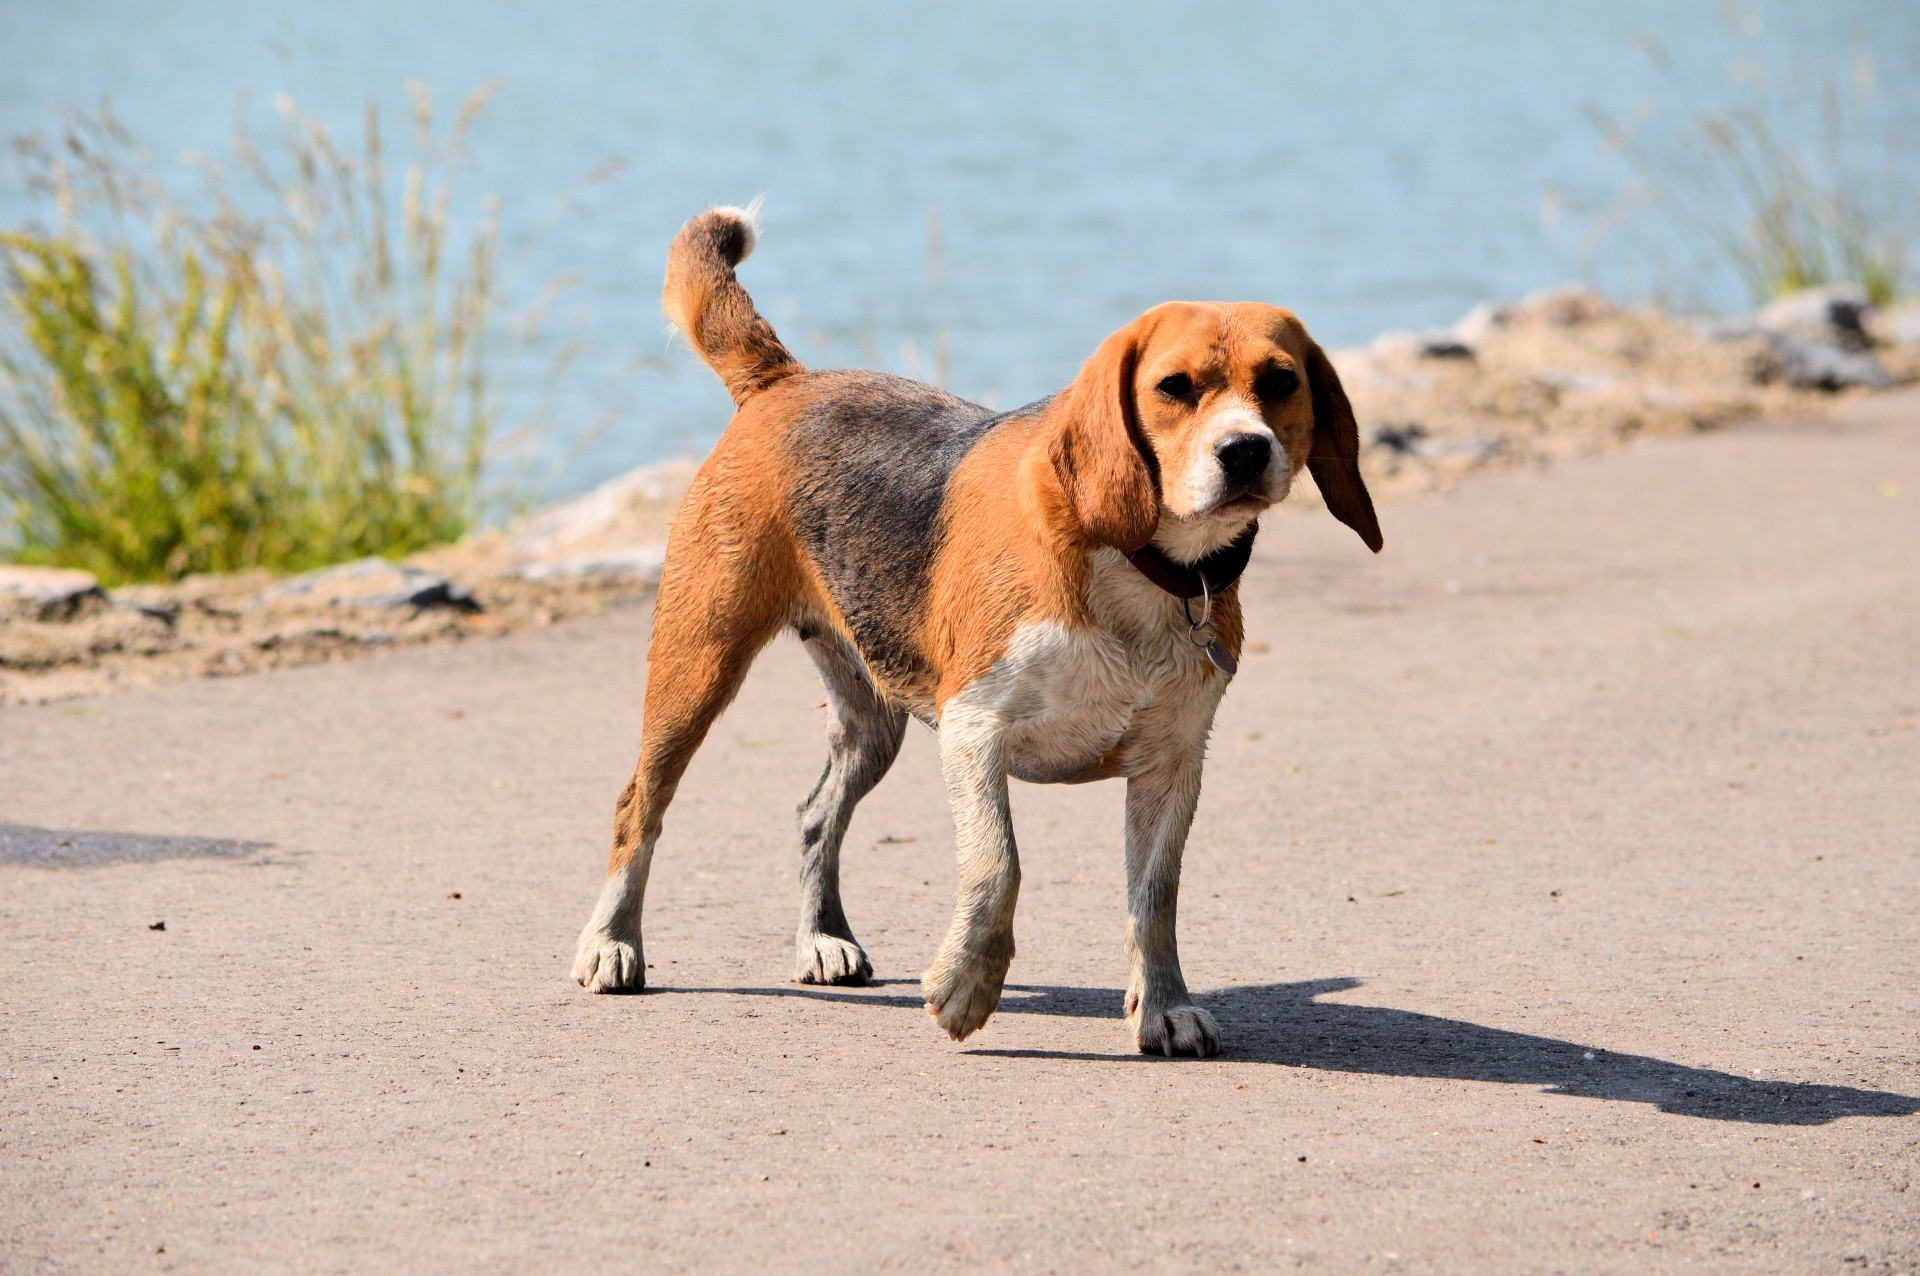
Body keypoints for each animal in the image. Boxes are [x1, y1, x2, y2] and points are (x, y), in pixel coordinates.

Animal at [568, 201, 1382, 1051]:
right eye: (1175, 388)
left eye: (1281, 382)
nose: (1245, 450)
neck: (1137, 565)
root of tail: (783, 380)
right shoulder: (973, 729)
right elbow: (999, 867)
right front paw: (966, 986)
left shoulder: (1172, 763)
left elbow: (1153, 900)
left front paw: (1163, 1005)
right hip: (697, 669)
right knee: (638, 808)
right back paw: (613, 944)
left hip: (872, 720)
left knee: (817, 814)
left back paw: (822, 937)